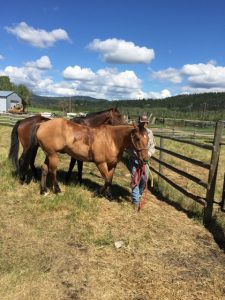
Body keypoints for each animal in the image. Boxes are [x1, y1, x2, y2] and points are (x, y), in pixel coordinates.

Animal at [19, 118, 149, 198]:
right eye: (137, 138)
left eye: (148, 138)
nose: (145, 159)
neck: (111, 139)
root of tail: (42, 124)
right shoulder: (100, 163)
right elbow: (107, 180)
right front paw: (97, 193)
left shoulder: (112, 164)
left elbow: (110, 180)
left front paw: (109, 195)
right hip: (53, 155)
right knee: (52, 171)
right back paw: (58, 190)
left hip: (49, 154)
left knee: (45, 169)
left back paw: (43, 190)